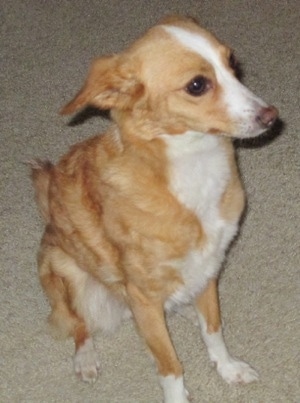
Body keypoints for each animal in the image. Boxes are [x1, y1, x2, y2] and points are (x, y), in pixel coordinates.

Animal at [29, 15, 276, 403]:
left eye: (232, 63)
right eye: (197, 85)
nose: (271, 116)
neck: (193, 167)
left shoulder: (208, 268)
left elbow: (214, 330)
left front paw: (227, 369)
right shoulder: (143, 297)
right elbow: (169, 365)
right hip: (65, 270)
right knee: (77, 323)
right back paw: (86, 357)